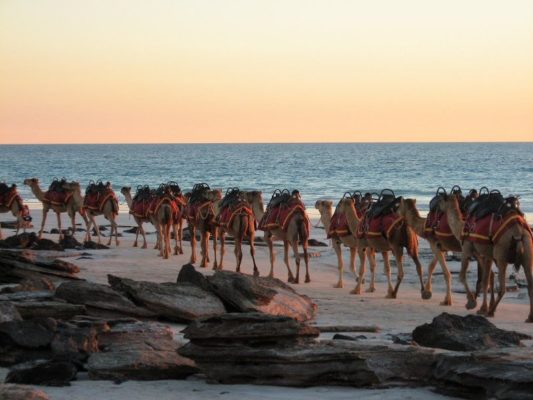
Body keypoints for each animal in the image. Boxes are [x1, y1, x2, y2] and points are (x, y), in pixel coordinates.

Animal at [438, 192, 528, 320]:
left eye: (441, 200)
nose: (438, 208)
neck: (461, 229)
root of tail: (518, 230)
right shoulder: (482, 255)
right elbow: (489, 277)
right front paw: (485, 307)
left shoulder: (467, 250)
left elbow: (464, 276)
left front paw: (472, 303)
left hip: (501, 252)